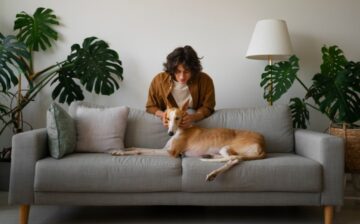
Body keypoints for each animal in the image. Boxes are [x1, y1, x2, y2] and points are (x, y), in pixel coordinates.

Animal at [111, 100, 266, 181]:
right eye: (168, 118)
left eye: (178, 118)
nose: (170, 133)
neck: (181, 129)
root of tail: (263, 145)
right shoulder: (164, 149)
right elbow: (139, 147)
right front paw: (122, 149)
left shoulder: (170, 152)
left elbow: (142, 151)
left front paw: (121, 153)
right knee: (231, 159)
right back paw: (209, 157)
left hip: (227, 147)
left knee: (235, 159)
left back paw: (213, 173)